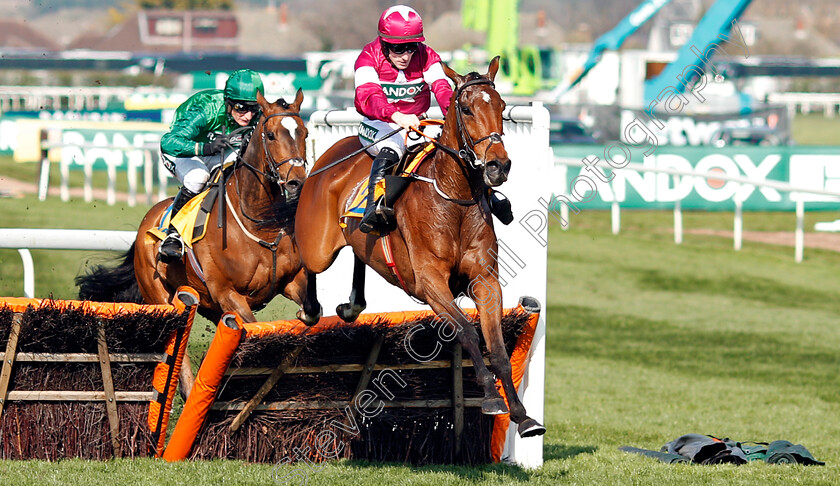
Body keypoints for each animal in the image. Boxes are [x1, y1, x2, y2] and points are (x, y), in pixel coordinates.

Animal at [78, 90, 322, 394]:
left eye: (304, 132)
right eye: (271, 135)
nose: (296, 182)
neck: (258, 223)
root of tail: (146, 222)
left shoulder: (290, 280)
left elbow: (312, 311)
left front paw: (301, 320)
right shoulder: (226, 292)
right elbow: (253, 329)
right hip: (162, 295)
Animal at [296, 58, 544, 438]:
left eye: (502, 107)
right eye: (467, 109)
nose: (498, 165)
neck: (453, 197)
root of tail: (331, 155)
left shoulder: (485, 280)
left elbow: (498, 347)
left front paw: (522, 413)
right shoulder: (430, 283)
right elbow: (468, 332)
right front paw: (491, 398)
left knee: (358, 254)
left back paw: (352, 304)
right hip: (317, 246)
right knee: (304, 260)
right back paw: (310, 309)